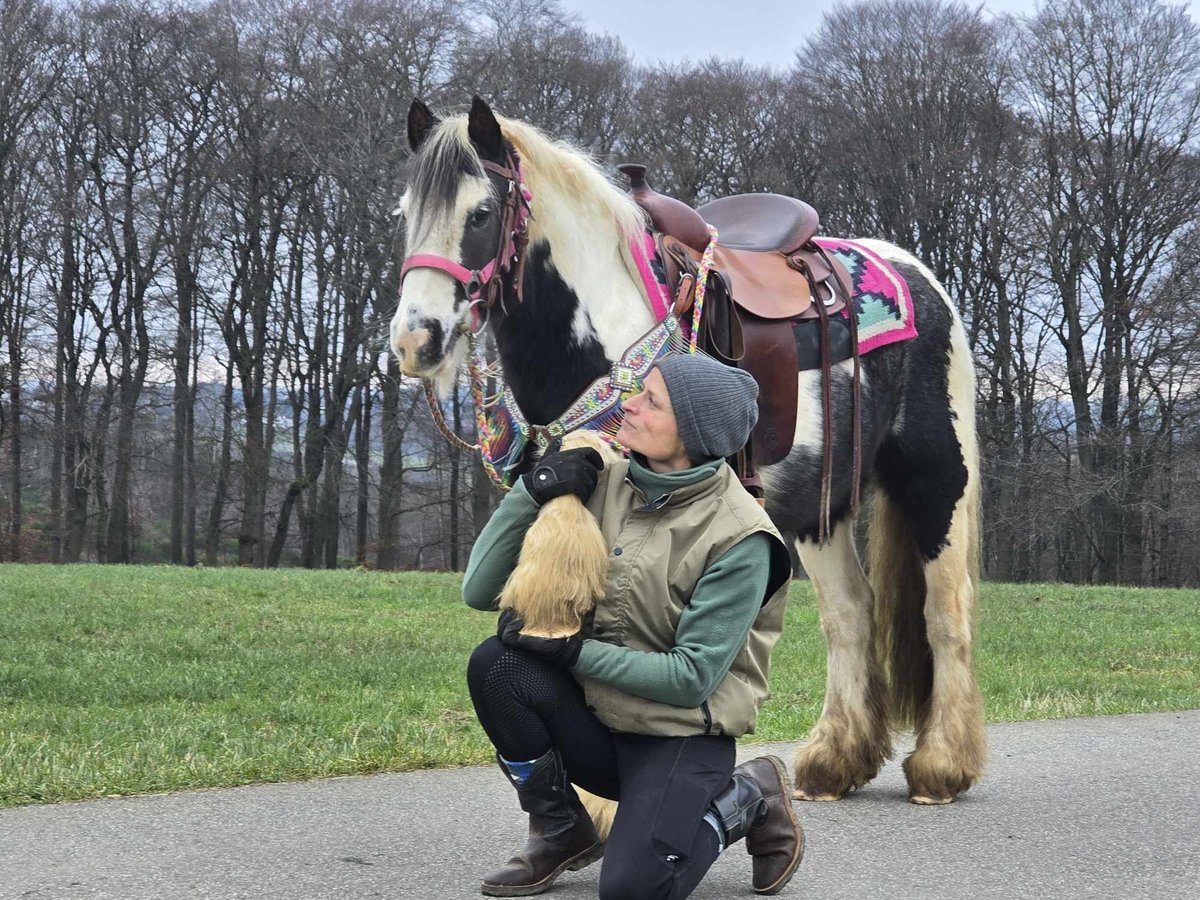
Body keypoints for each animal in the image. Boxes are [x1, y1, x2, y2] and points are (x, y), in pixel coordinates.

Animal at [393, 98, 984, 811]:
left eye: (480, 213)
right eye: (404, 214)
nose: (414, 341)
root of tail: (915, 275)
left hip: (936, 478)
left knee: (944, 611)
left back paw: (942, 766)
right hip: (820, 507)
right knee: (850, 614)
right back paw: (833, 762)